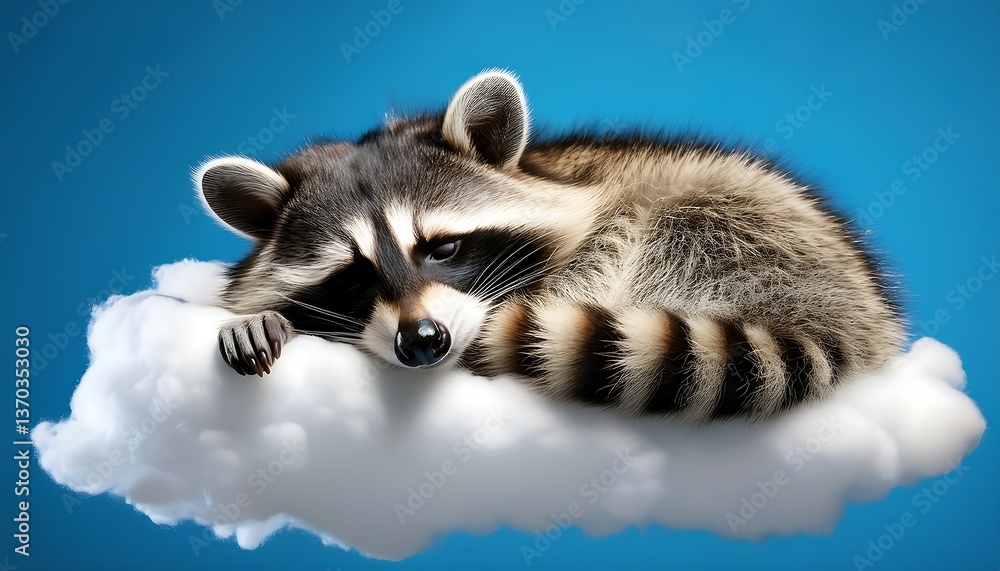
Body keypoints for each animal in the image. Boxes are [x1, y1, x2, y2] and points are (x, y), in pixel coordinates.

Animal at [195, 69, 904, 423]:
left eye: (443, 249)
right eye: (354, 276)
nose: (423, 342)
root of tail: (851, 314)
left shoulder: (602, 226)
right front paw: (268, 317)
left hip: (730, 226)